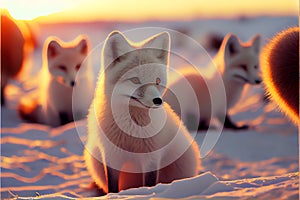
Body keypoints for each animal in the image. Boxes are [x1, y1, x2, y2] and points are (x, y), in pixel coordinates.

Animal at [84, 30, 200, 193]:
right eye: (135, 80)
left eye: (157, 81)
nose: (158, 101)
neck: (131, 131)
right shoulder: (111, 156)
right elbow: (112, 187)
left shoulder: (152, 158)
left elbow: (150, 183)